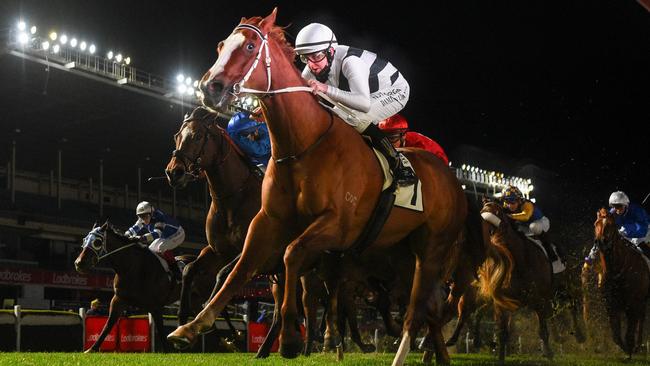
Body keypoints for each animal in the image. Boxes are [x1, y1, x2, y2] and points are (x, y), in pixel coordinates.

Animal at [167, 9, 466, 366]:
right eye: (221, 45)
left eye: (251, 46)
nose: (209, 88)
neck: (304, 145)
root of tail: (450, 177)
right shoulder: (266, 222)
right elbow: (236, 271)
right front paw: (191, 327)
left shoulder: (337, 227)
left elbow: (292, 255)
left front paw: (291, 340)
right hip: (400, 252)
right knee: (427, 307)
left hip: (431, 248)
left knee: (418, 306)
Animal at [588, 207, 644, 358]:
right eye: (596, 224)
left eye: (610, 225)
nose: (600, 242)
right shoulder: (611, 303)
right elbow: (616, 334)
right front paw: (625, 348)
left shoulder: (633, 303)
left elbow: (630, 330)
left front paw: (630, 349)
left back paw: (637, 346)